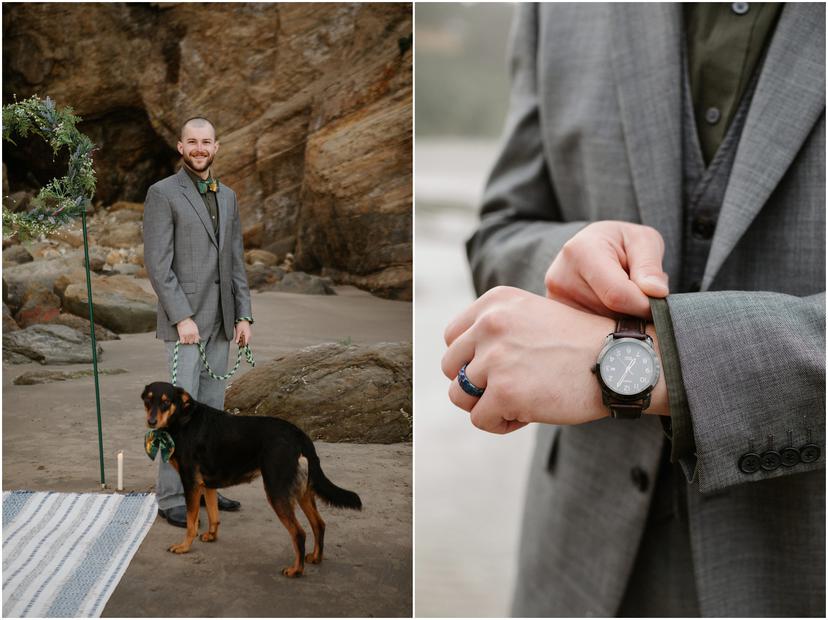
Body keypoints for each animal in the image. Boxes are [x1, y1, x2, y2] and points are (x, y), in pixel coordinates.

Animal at [141, 380, 360, 580]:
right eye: (148, 400)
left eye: (166, 402)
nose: (151, 422)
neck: (184, 419)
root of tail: (299, 435)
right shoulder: (208, 484)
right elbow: (213, 514)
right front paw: (212, 536)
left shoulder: (191, 484)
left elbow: (191, 523)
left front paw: (184, 546)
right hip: (302, 491)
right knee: (319, 524)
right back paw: (315, 557)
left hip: (276, 491)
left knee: (299, 533)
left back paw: (296, 570)